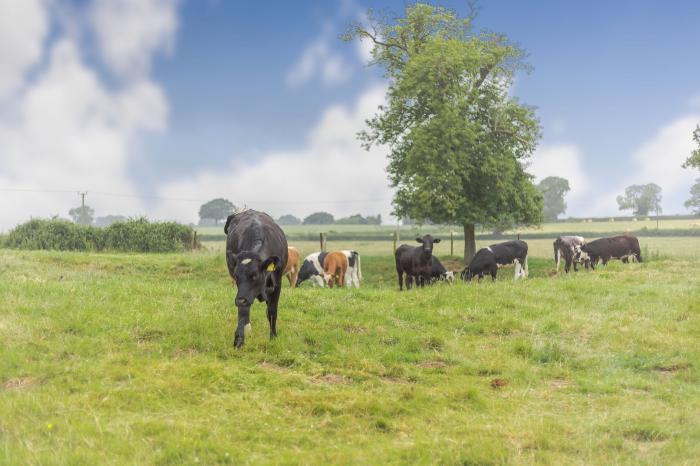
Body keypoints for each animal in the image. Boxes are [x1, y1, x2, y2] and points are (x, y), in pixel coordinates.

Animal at [226, 209, 288, 348]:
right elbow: (243, 311)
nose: (239, 300)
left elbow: (272, 310)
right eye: (237, 276)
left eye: (255, 275)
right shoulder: (242, 293)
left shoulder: (278, 283)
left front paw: (273, 336)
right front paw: (239, 338)